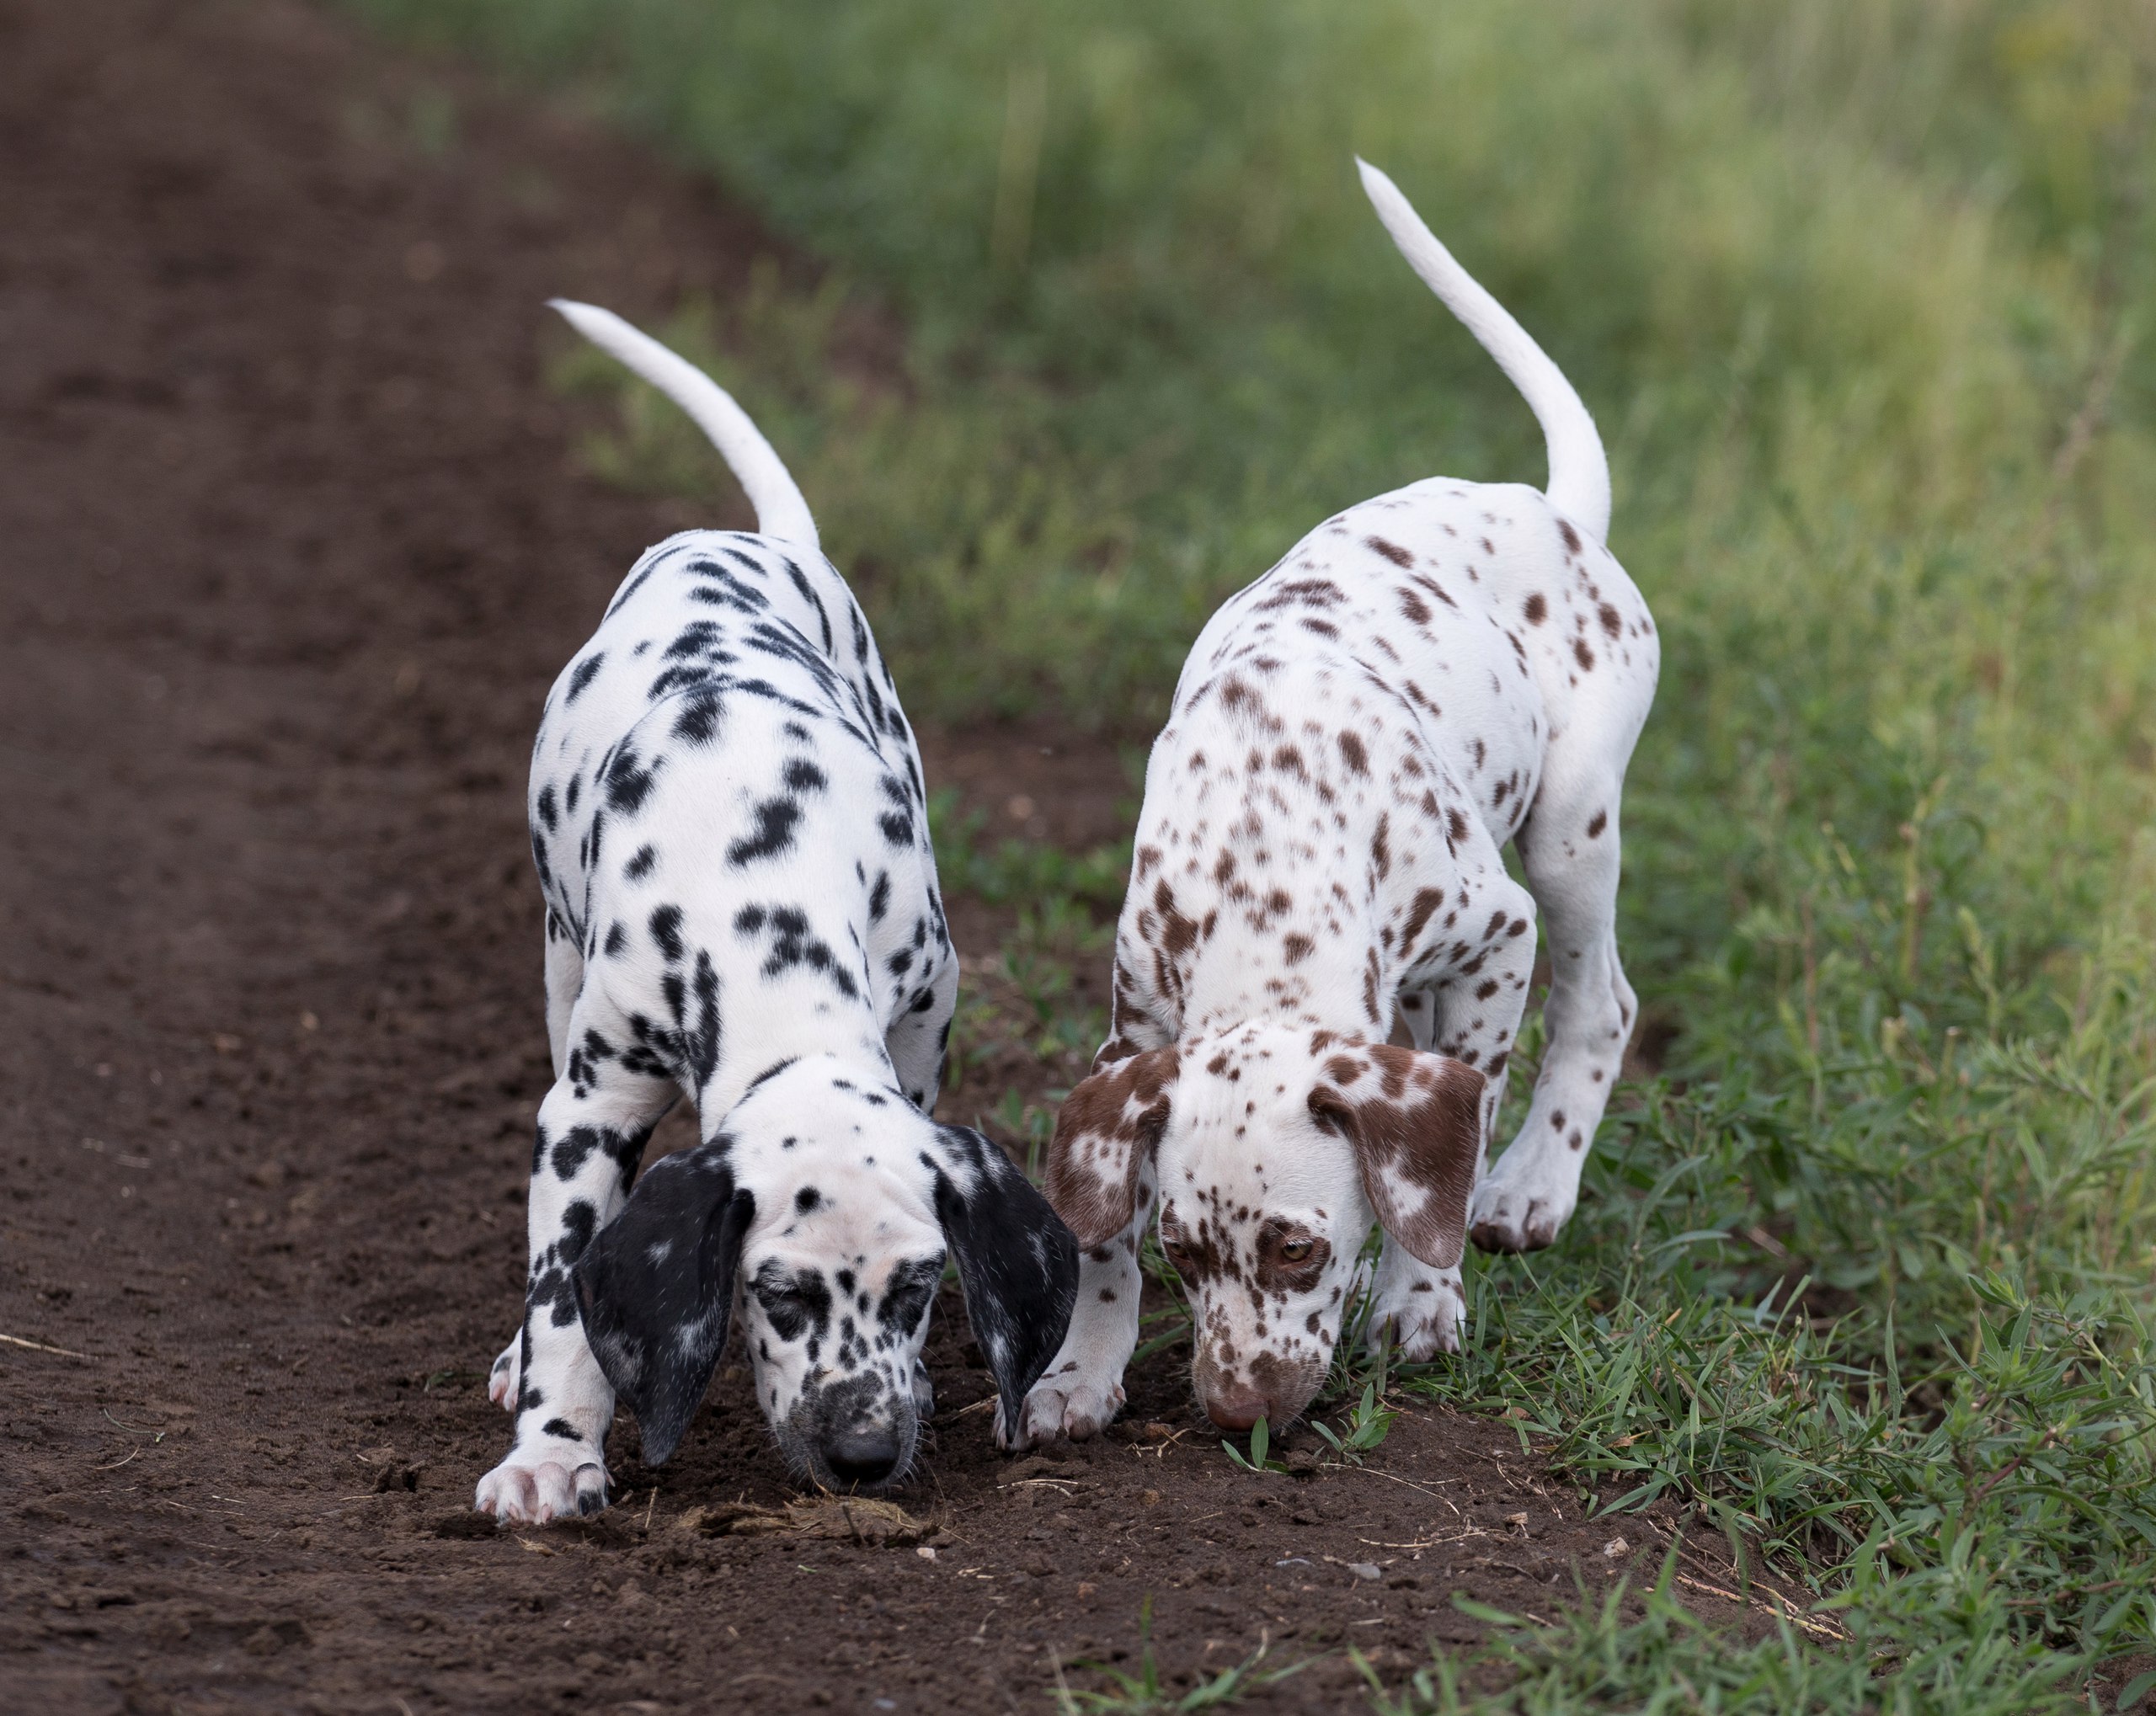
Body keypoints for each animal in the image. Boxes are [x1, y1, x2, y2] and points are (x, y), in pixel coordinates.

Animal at [474, 301, 1078, 1517]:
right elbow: (566, 1291)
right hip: (557, 966)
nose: (864, 1453)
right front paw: (552, 1450)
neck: (763, 884)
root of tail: (754, 539)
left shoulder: (925, 1015)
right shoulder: (591, 1104)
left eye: (918, 1289)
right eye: (780, 1293)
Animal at [1017, 167, 1656, 1440]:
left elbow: (1448, 1144)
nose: (1235, 1412)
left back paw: (1532, 1185)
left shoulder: (1494, 934)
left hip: (1570, 836)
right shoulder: (1135, 1022)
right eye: (1183, 1255)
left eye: (1295, 1250)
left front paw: (1419, 1298)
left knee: (1600, 1006)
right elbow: (1100, 1234)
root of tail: (1552, 507)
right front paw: (1080, 1368)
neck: (1263, 859)